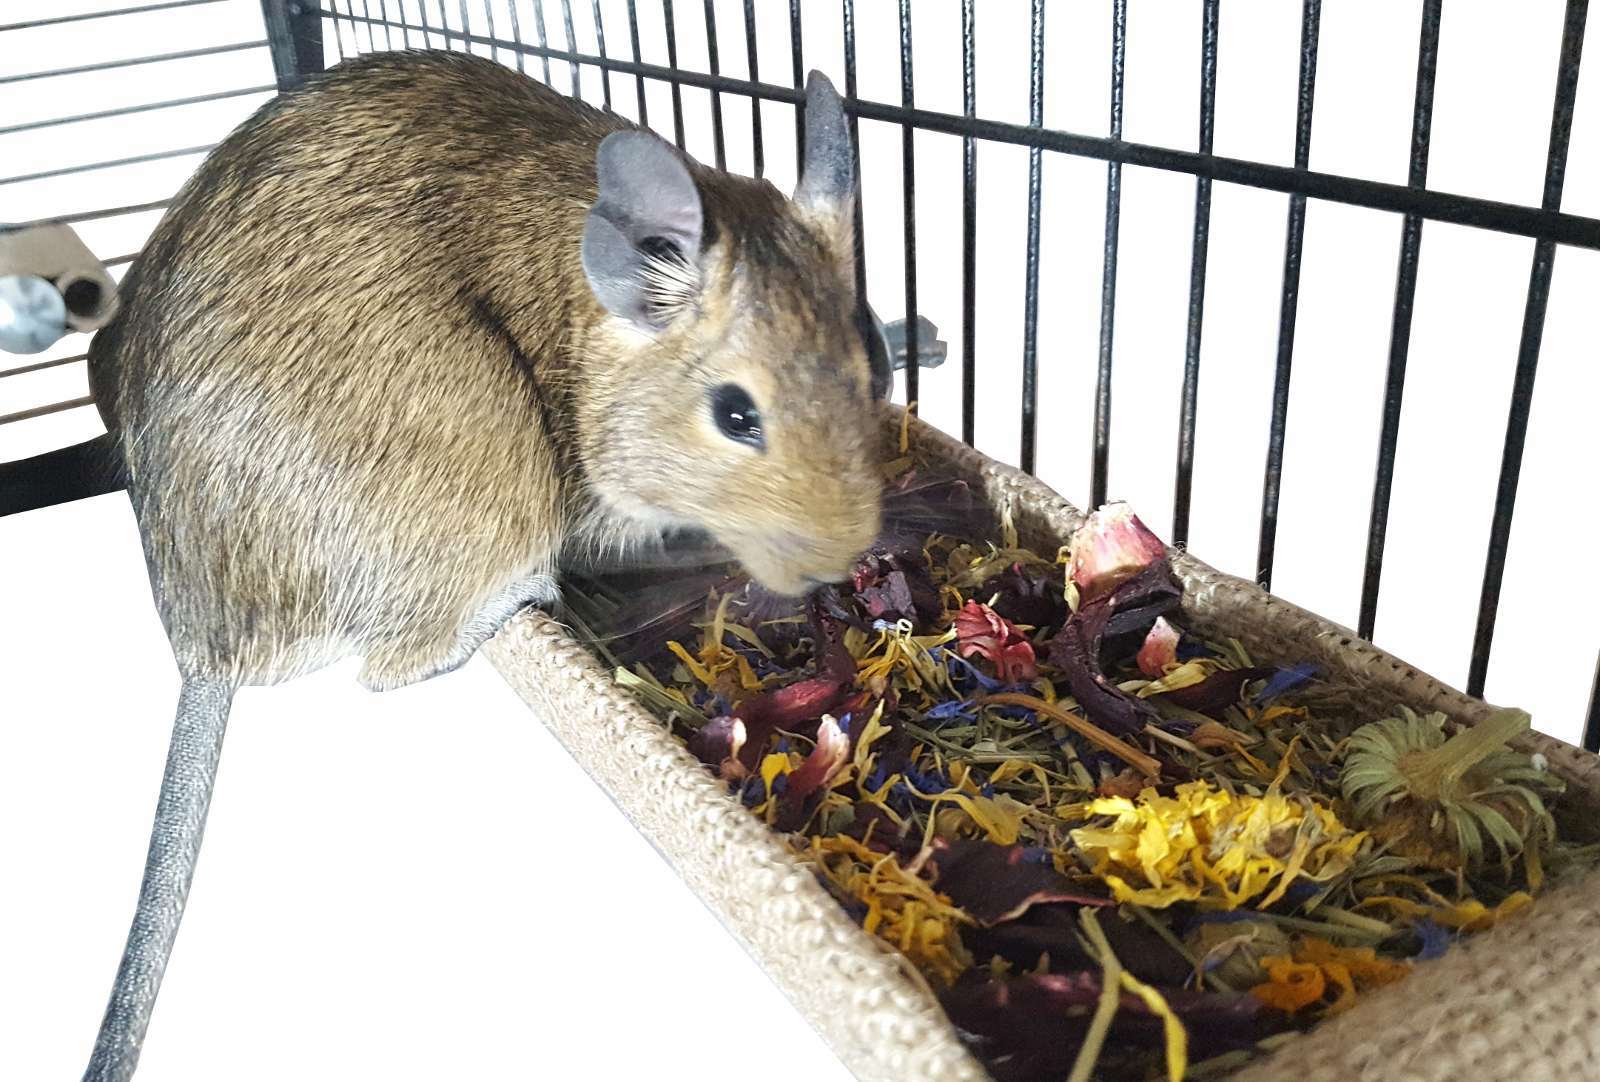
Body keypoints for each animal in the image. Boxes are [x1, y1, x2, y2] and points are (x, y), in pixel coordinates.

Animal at [78, 49, 884, 1081]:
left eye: (873, 362)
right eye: (736, 415)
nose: (842, 561)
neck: (596, 321)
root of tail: (202, 653)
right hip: (495, 470)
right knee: (395, 665)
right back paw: (516, 601)